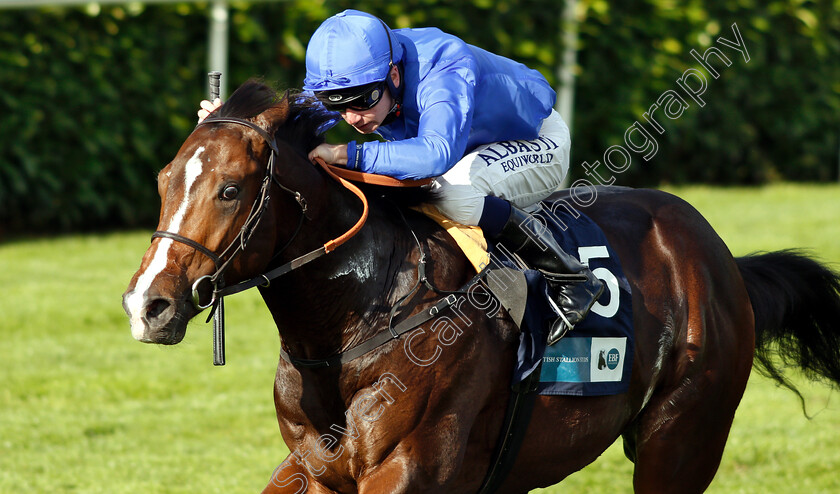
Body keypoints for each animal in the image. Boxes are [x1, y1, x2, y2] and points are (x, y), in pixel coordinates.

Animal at [120, 83, 840, 492]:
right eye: (162, 181)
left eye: (229, 189)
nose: (147, 305)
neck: (361, 316)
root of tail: (720, 261)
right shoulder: (315, 467)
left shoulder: (407, 468)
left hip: (681, 439)